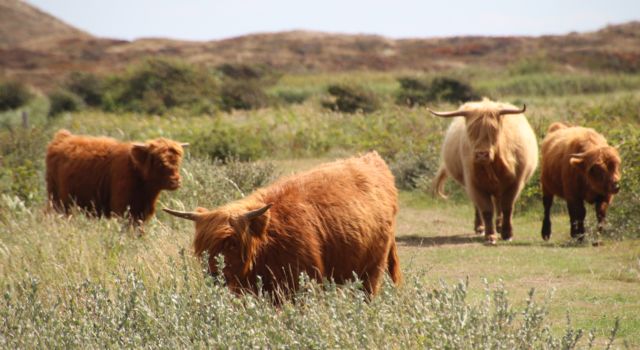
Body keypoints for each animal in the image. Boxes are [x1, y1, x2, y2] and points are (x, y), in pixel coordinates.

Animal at [46, 130, 188, 226]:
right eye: (159, 163)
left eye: (178, 162)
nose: (176, 181)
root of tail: (62, 137)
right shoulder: (122, 208)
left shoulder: (142, 211)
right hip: (57, 200)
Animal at [430, 98, 540, 243]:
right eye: (471, 131)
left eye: (494, 130)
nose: (482, 154)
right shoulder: (474, 183)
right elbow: (486, 209)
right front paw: (490, 235)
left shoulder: (515, 183)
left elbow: (507, 207)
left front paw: (507, 234)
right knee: (479, 206)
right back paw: (480, 227)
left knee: (499, 203)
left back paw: (499, 226)